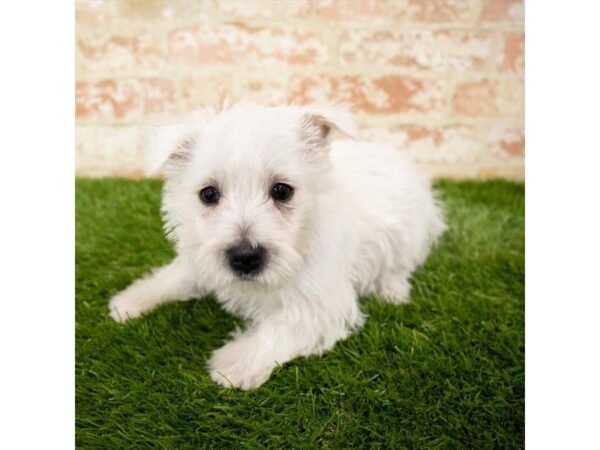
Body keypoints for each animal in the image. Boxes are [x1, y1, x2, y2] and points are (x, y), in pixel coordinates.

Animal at [109, 103, 446, 388]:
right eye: (208, 194)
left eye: (282, 191)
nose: (245, 257)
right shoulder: (201, 260)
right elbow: (174, 277)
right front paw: (131, 300)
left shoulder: (321, 302)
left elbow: (282, 325)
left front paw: (235, 363)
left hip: (412, 231)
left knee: (401, 264)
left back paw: (393, 290)